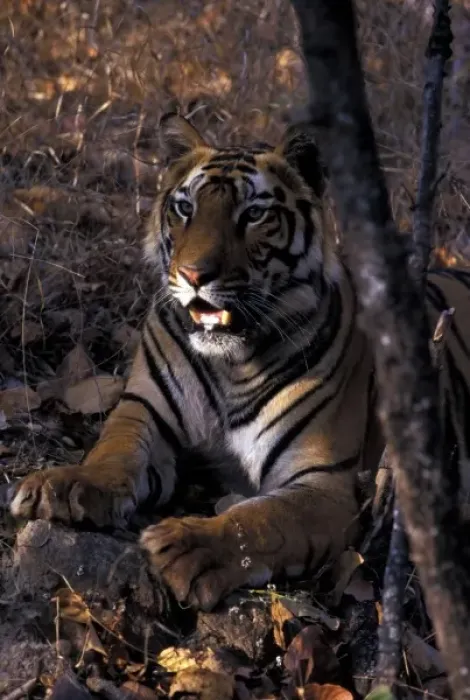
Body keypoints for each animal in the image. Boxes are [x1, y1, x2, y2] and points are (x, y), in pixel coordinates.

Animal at [10, 114, 470, 611]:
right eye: (185, 208)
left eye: (253, 215)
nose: (193, 275)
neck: (228, 363)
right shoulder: (144, 412)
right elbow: (114, 451)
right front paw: (66, 487)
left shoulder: (323, 483)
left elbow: (261, 520)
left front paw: (187, 546)